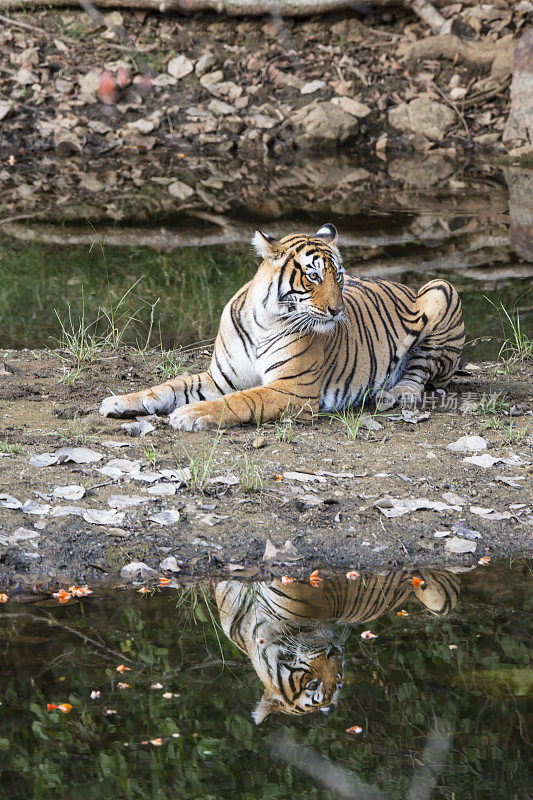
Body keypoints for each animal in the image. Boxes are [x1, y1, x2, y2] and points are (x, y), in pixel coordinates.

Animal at [97, 222, 464, 428]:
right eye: (313, 276)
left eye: (339, 277)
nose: (337, 311)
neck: (264, 320)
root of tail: (405, 285)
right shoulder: (221, 378)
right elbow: (168, 388)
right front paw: (119, 401)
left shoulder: (290, 389)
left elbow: (241, 401)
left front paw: (191, 413)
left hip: (441, 289)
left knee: (421, 374)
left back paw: (396, 393)